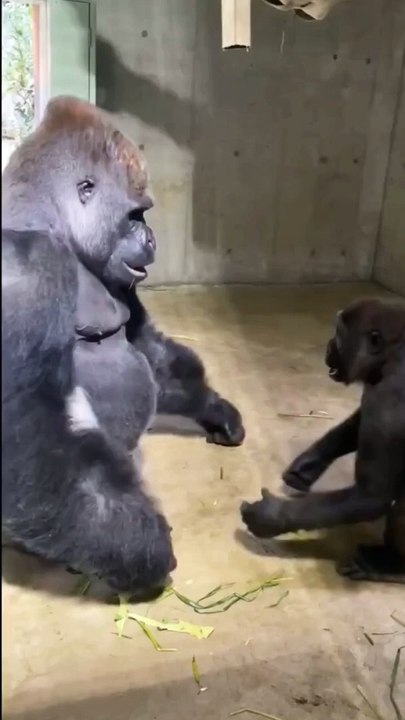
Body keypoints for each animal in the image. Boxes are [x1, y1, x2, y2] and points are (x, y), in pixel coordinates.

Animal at [2, 96, 244, 593]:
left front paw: (215, 409)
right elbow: (25, 440)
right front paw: (145, 547)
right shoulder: (22, 268)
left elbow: (145, 346)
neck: (49, 219)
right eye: (135, 215)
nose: (151, 238)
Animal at [241, 299, 405, 584]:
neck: (394, 351)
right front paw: (307, 465)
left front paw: (271, 515)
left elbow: (371, 495)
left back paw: (391, 564)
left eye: (339, 336)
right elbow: (358, 422)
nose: (328, 347)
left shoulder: (390, 398)